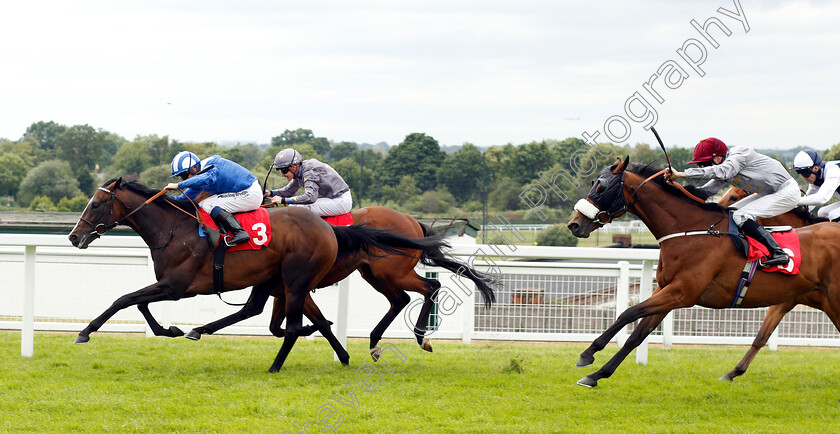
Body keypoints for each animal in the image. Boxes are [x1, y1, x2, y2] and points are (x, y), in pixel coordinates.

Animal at [69, 178, 450, 372]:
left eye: (96, 204)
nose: (74, 236)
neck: (176, 229)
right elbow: (138, 304)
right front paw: (171, 329)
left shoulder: (177, 286)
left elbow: (125, 299)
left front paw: (85, 332)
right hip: (353, 277)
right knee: (400, 298)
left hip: (359, 275)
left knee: (428, 286)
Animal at [186, 206, 496, 360]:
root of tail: (411, 220)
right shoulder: (283, 291)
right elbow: (282, 326)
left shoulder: (292, 289)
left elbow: (299, 323)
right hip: (373, 274)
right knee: (400, 299)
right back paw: (374, 343)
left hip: (392, 272)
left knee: (430, 288)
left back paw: (421, 337)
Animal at [564, 159, 840, 386]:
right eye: (594, 183)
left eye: (601, 187)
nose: (574, 224)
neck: (690, 231)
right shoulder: (667, 290)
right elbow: (638, 334)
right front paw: (597, 373)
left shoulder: (682, 293)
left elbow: (628, 313)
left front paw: (588, 354)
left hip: (832, 299)